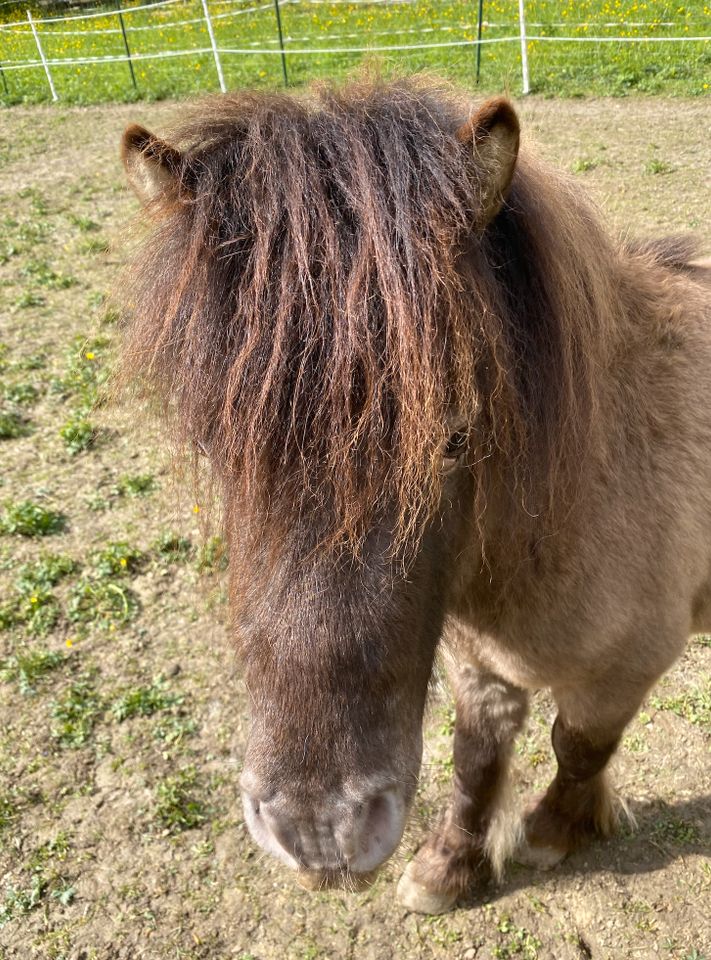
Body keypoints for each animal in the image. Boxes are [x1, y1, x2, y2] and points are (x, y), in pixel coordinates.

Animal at [118, 77, 711, 916]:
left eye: (455, 437)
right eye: (208, 439)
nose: (319, 833)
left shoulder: (623, 671)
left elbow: (577, 748)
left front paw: (550, 834)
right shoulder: (476, 659)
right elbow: (475, 757)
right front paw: (449, 866)